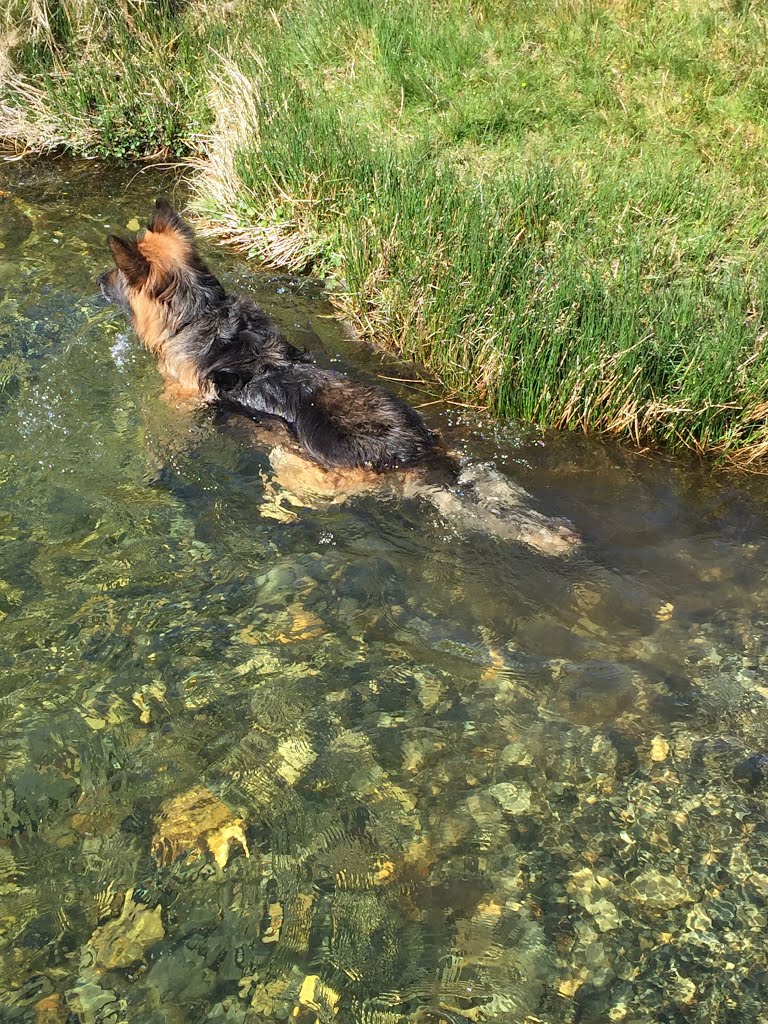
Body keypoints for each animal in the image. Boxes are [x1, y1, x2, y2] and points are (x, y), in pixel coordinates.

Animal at [99, 196, 581, 557]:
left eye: (118, 273)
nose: (99, 279)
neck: (201, 312)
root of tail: (413, 456)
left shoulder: (179, 400)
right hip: (445, 444)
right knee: (490, 483)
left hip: (297, 466)